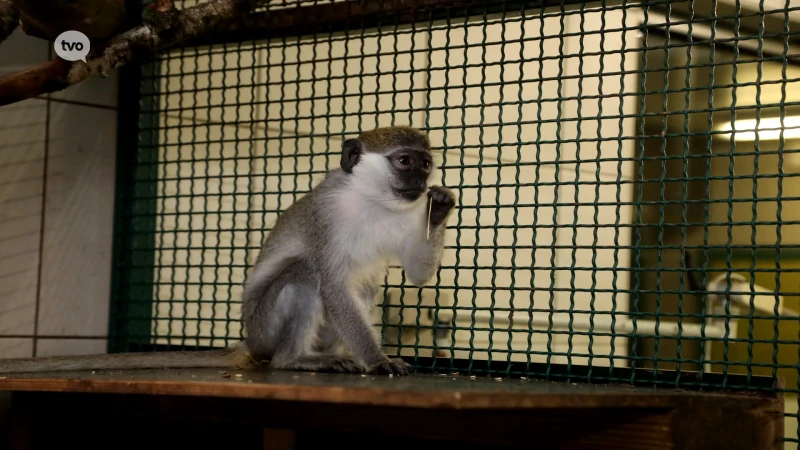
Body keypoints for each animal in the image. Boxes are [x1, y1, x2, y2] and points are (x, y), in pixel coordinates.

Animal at [0, 125, 456, 376]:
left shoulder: (406, 214)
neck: (371, 200)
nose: (421, 180)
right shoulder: (327, 216)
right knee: (305, 274)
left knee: (363, 289)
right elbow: (331, 283)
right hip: (264, 328)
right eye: (404, 161)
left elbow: (416, 274)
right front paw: (378, 360)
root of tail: (250, 342)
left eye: (425, 163)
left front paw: (441, 206)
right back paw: (294, 360)